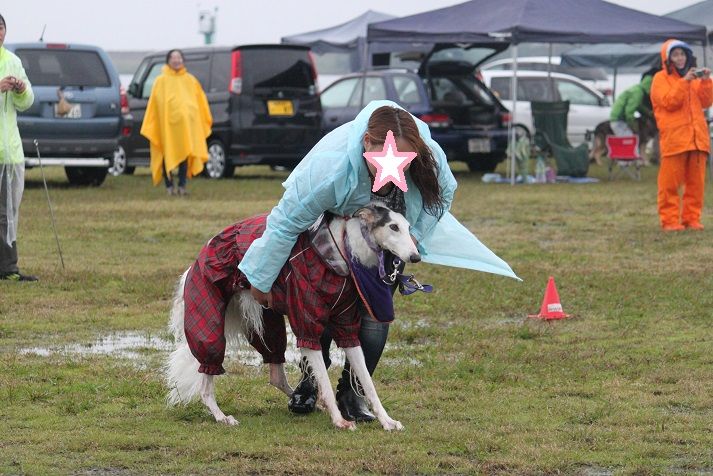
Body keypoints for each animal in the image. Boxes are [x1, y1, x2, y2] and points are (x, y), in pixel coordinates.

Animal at [164, 203, 420, 431]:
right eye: (393, 227)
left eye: (409, 227)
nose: (416, 256)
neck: (337, 253)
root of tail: (195, 261)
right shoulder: (307, 325)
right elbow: (324, 378)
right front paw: (340, 421)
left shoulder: (347, 325)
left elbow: (367, 381)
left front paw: (387, 421)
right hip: (209, 313)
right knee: (207, 378)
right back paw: (221, 416)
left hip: (266, 321)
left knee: (276, 374)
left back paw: (305, 400)